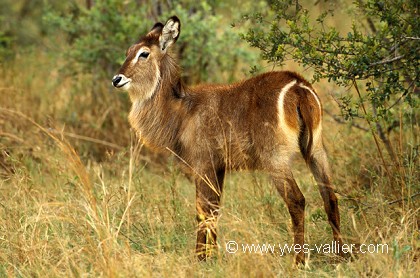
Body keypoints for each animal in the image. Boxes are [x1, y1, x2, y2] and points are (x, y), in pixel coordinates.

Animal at [112, 16, 344, 264]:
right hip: (316, 150)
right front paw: (212, 256)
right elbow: (214, 209)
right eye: (128, 51)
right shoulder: (218, 167)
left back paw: (299, 260)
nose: (117, 79)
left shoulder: (203, 164)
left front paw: (200, 258)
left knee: (297, 200)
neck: (182, 110)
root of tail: (298, 85)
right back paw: (342, 255)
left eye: (144, 53)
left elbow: (202, 210)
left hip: (276, 159)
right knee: (330, 196)